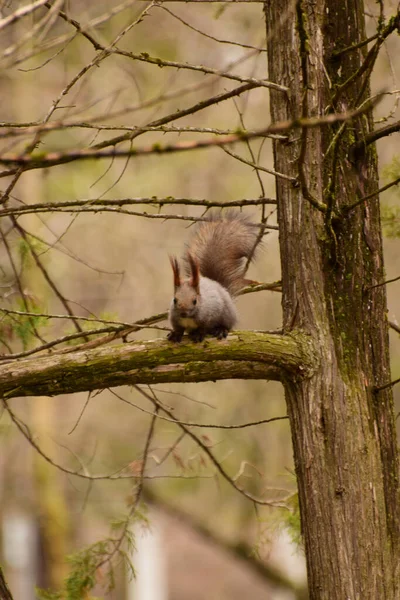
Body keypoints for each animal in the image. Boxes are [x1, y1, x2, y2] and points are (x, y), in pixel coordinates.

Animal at [167, 211, 258, 342]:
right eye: (175, 300)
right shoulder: (175, 319)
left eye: (195, 301)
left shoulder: (209, 316)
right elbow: (178, 328)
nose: (183, 313)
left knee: (226, 325)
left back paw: (220, 330)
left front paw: (199, 334)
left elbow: (203, 328)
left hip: (227, 314)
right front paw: (175, 334)